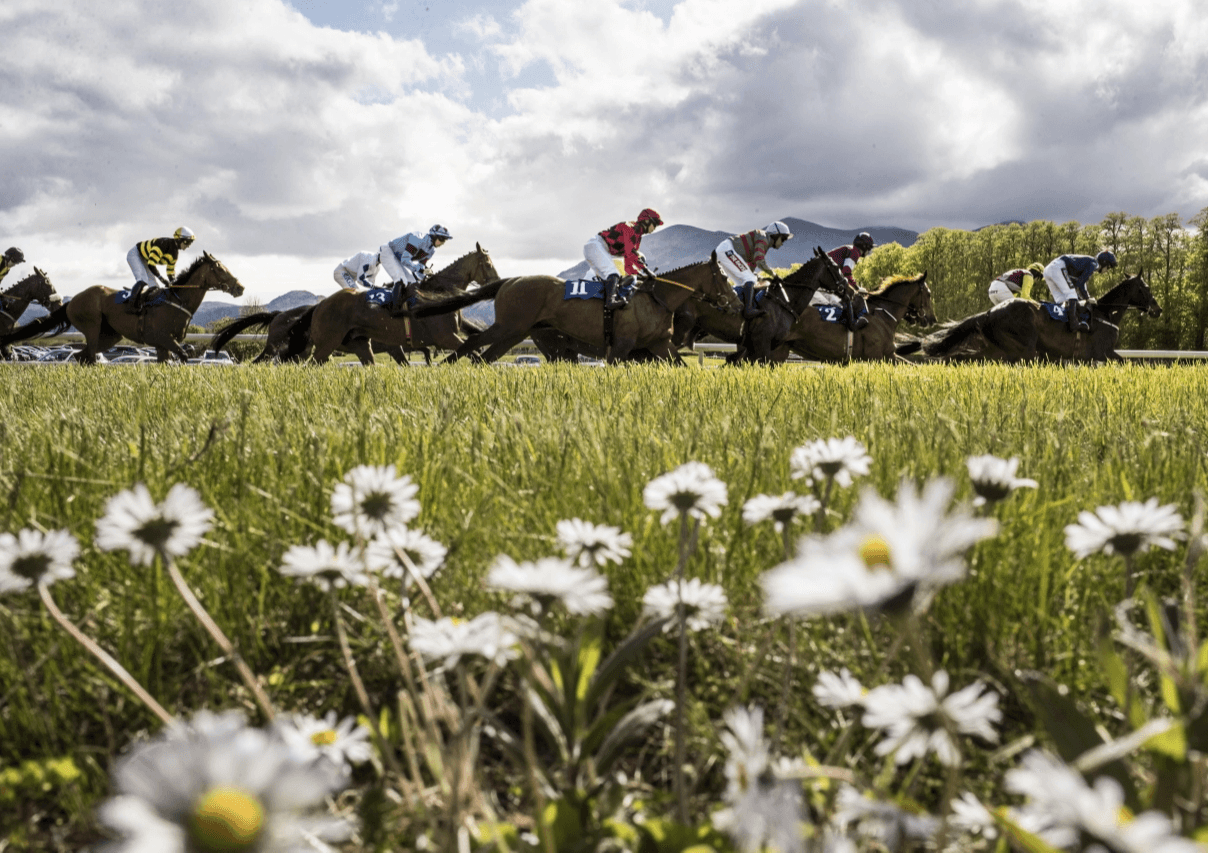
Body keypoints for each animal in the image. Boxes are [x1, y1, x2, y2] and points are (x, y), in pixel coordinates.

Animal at [0, 251, 245, 360]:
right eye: (219, 269)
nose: (240, 287)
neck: (176, 301)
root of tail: (73, 300)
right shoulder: (164, 339)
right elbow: (184, 356)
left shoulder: (162, 345)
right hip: (92, 327)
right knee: (89, 356)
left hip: (111, 335)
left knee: (82, 356)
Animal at [304, 246, 502, 364]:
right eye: (487, 264)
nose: (498, 283)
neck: (437, 293)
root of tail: (320, 305)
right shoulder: (446, 337)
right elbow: (474, 354)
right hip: (328, 344)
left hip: (360, 345)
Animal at [415, 251, 734, 360]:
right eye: (723, 276)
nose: (732, 302)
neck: (657, 298)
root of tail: (513, 279)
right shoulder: (622, 344)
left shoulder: (660, 344)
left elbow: (681, 366)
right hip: (510, 326)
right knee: (473, 343)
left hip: (518, 332)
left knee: (485, 356)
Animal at [918, 273, 1164, 362]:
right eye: (1146, 288)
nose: (1157, 309)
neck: (1105, 313)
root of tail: (988, 313)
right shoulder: (1104, 353)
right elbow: (1128, 363)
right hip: (1023, 348)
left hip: (998, 348)